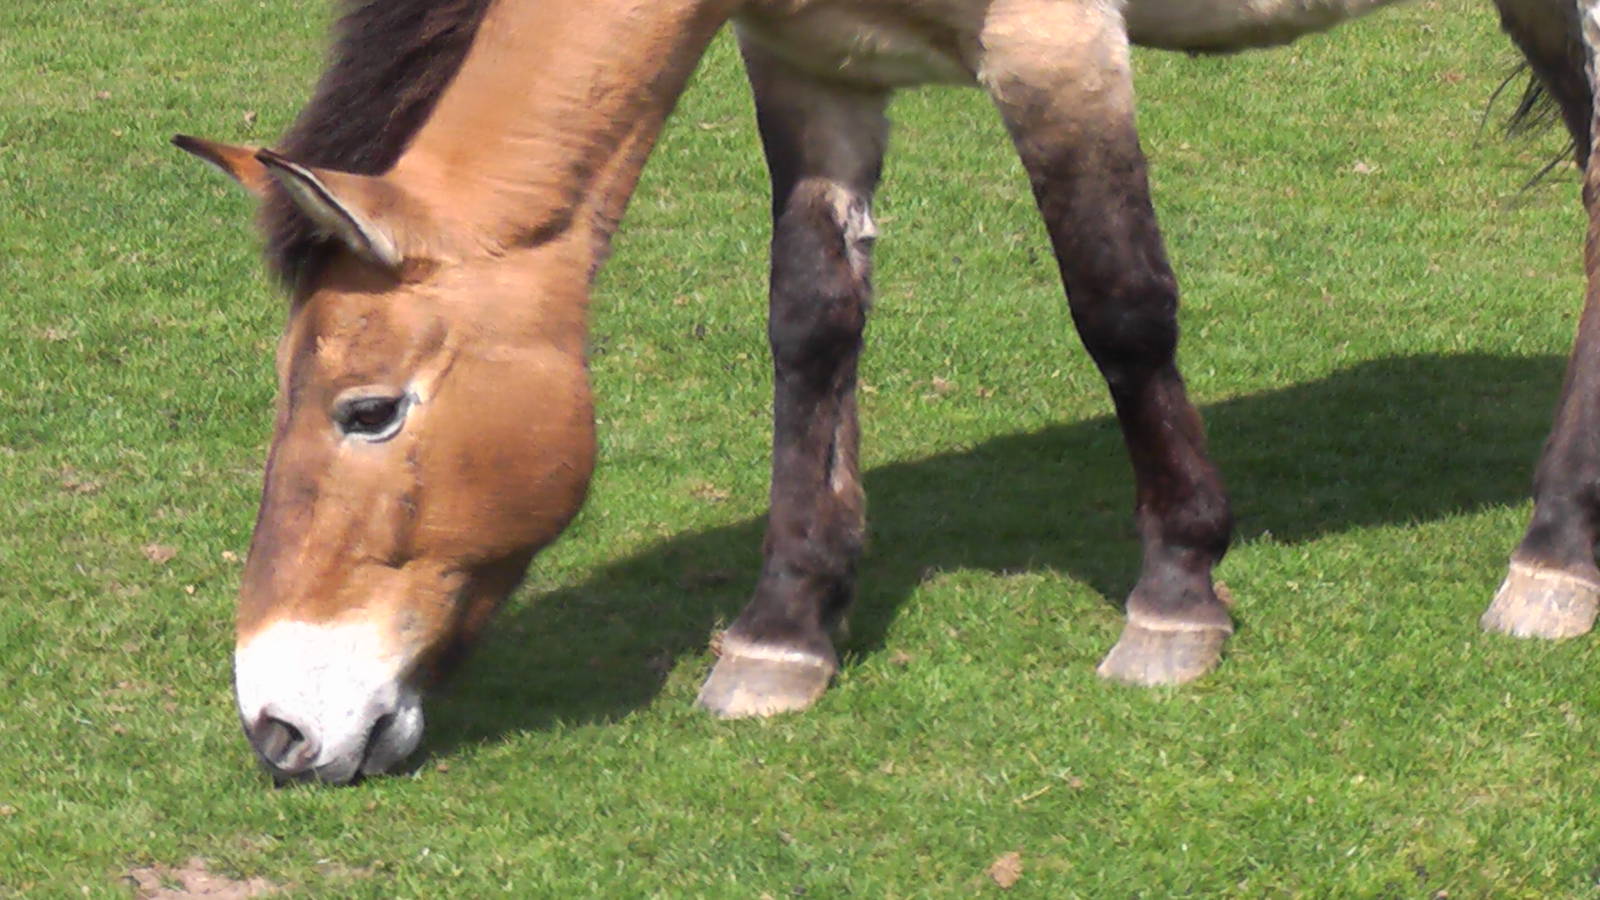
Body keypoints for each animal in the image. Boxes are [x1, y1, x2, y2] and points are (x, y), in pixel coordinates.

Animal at [175, 0, 1592, 784]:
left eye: (369, 410)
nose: (277, 729)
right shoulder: (812, 66)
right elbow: (812, 328)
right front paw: (783, 633)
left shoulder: (1053, 42)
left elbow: (1119, 304)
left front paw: (1176, 597)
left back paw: (1551, 560)